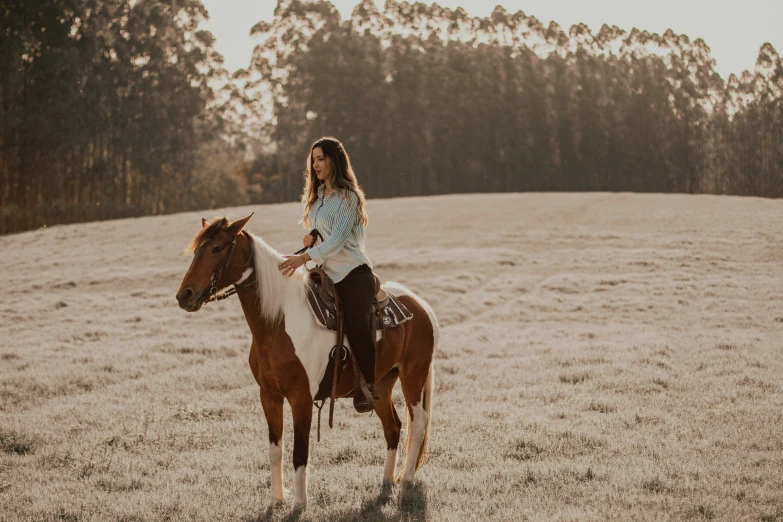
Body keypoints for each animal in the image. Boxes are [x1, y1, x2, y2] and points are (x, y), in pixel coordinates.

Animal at [174, 212, 438, 508]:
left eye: (217, 248)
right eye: (197, 250)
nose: (184, 295)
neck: (277, 322)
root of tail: (421, 305)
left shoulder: (301, 398)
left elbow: (299, 453)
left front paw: (299, 503)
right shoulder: (269, 396)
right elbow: (275, 450)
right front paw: (277, 499)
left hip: (413, 375)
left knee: (418, 423)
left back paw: (406, 479)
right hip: (381, 385)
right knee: (393, 428)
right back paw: (386, 480)